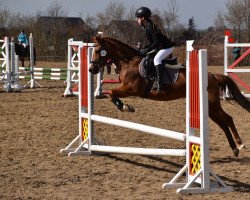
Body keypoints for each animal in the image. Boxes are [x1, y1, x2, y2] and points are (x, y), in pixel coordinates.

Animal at [89, 36, 250, 158]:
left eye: (97, 50)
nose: (91, 69)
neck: (129, 62)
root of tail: (213, 76)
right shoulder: (126, 88)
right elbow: (112, 94)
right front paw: (125, 106)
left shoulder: (133, 89)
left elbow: (112, 92)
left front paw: (126, 107)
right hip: (209, 108)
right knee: (223, 123)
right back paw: (235, 148)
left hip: (212, 105)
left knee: (227, 119)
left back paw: (240, 144)